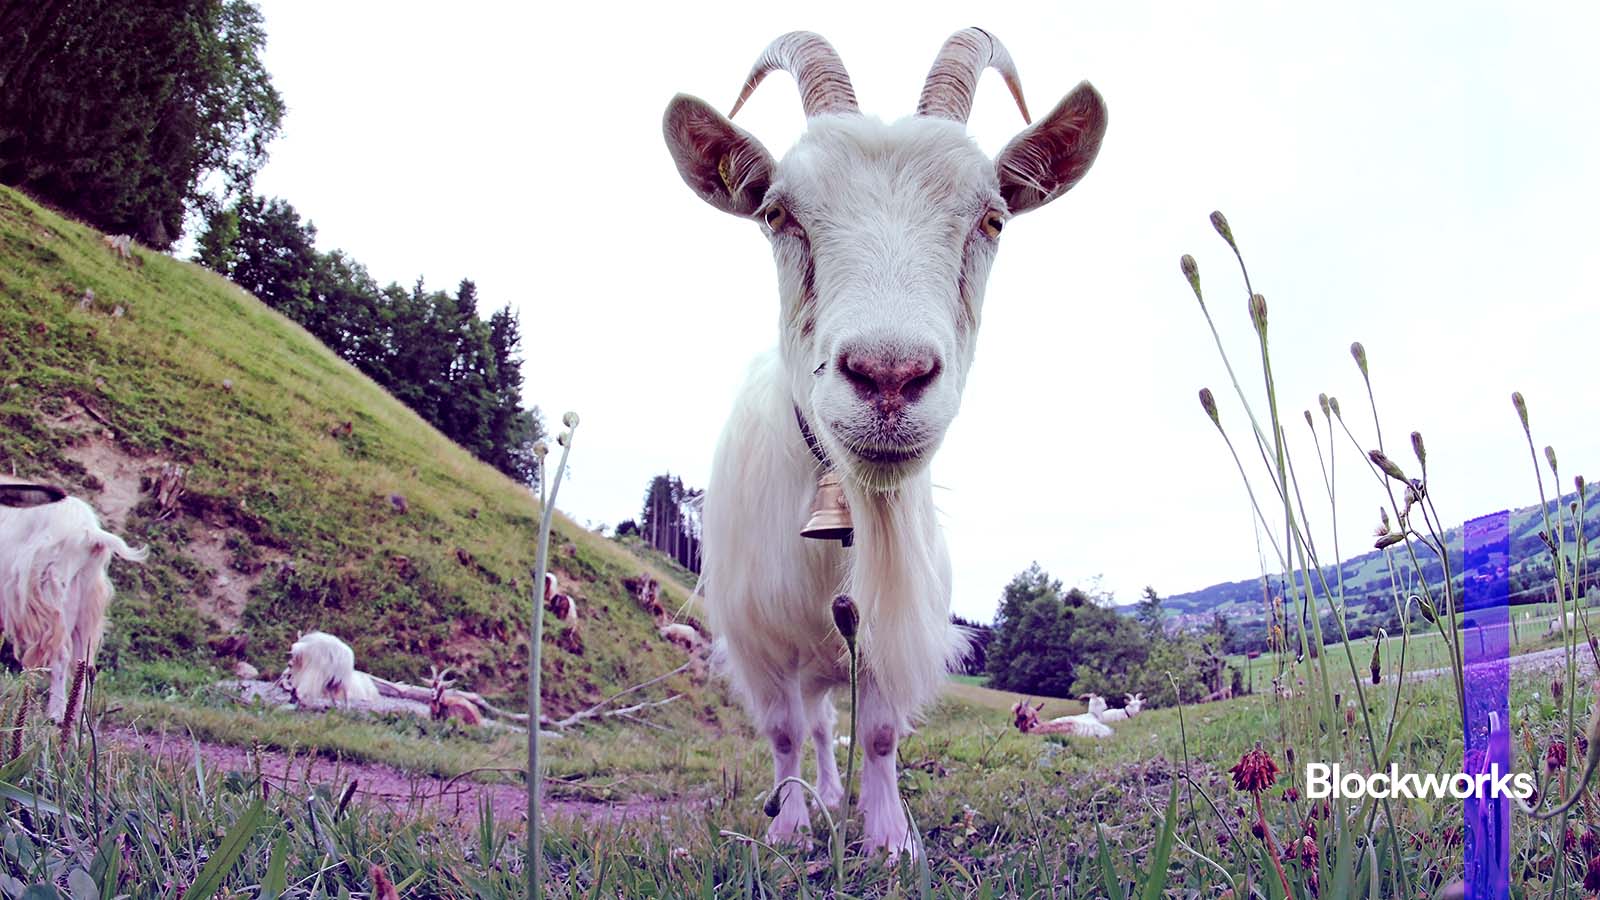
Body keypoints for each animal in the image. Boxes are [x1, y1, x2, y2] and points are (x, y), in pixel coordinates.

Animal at [0, 493, 146, 721]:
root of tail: (90, 532)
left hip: (52, 593)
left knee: (61, 654)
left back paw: (57, 714)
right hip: (83, 602)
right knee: (82, 660)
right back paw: (75, 716)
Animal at [666, 29, 1105, 856]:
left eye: (993, 219)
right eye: (776, 214)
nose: (890, 377)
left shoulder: (889, 629)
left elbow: (875, 732)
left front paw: (889, 837)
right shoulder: (756, 637)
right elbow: (782, 731)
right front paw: (788, 828)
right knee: (812, 724)